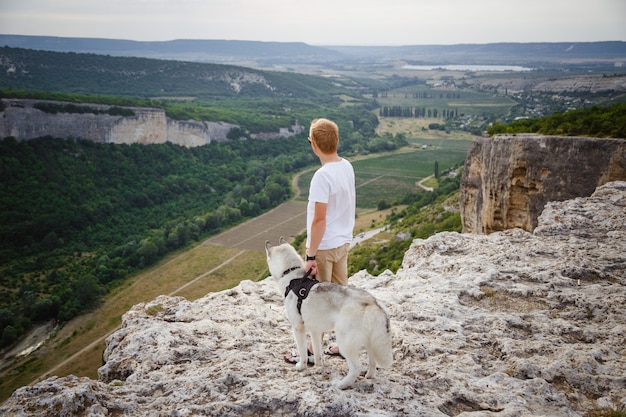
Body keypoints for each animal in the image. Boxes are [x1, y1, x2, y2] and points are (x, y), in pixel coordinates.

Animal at [264, 236, 390, 388]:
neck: (292, 276)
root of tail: (373, 303)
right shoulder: (315, 330)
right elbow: (317, 351)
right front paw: (318, 366)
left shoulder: (298, 328)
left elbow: (302, 351)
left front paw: (301, 365)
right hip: (369, 342)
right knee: (372, 361)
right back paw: (369, 375)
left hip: (344, 343)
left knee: (356, 367)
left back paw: (341, 384)